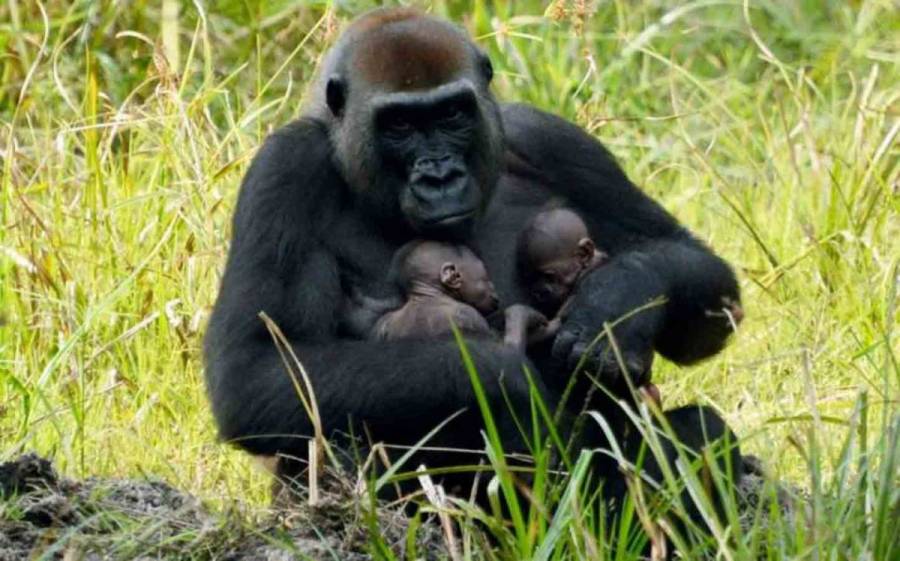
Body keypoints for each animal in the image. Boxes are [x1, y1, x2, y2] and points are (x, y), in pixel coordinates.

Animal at [346, 240, 548, 350]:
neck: (428, 294)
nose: (493, 287)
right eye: (486, 278)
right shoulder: (470, 316)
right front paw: (524, 315)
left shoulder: (380, 326)